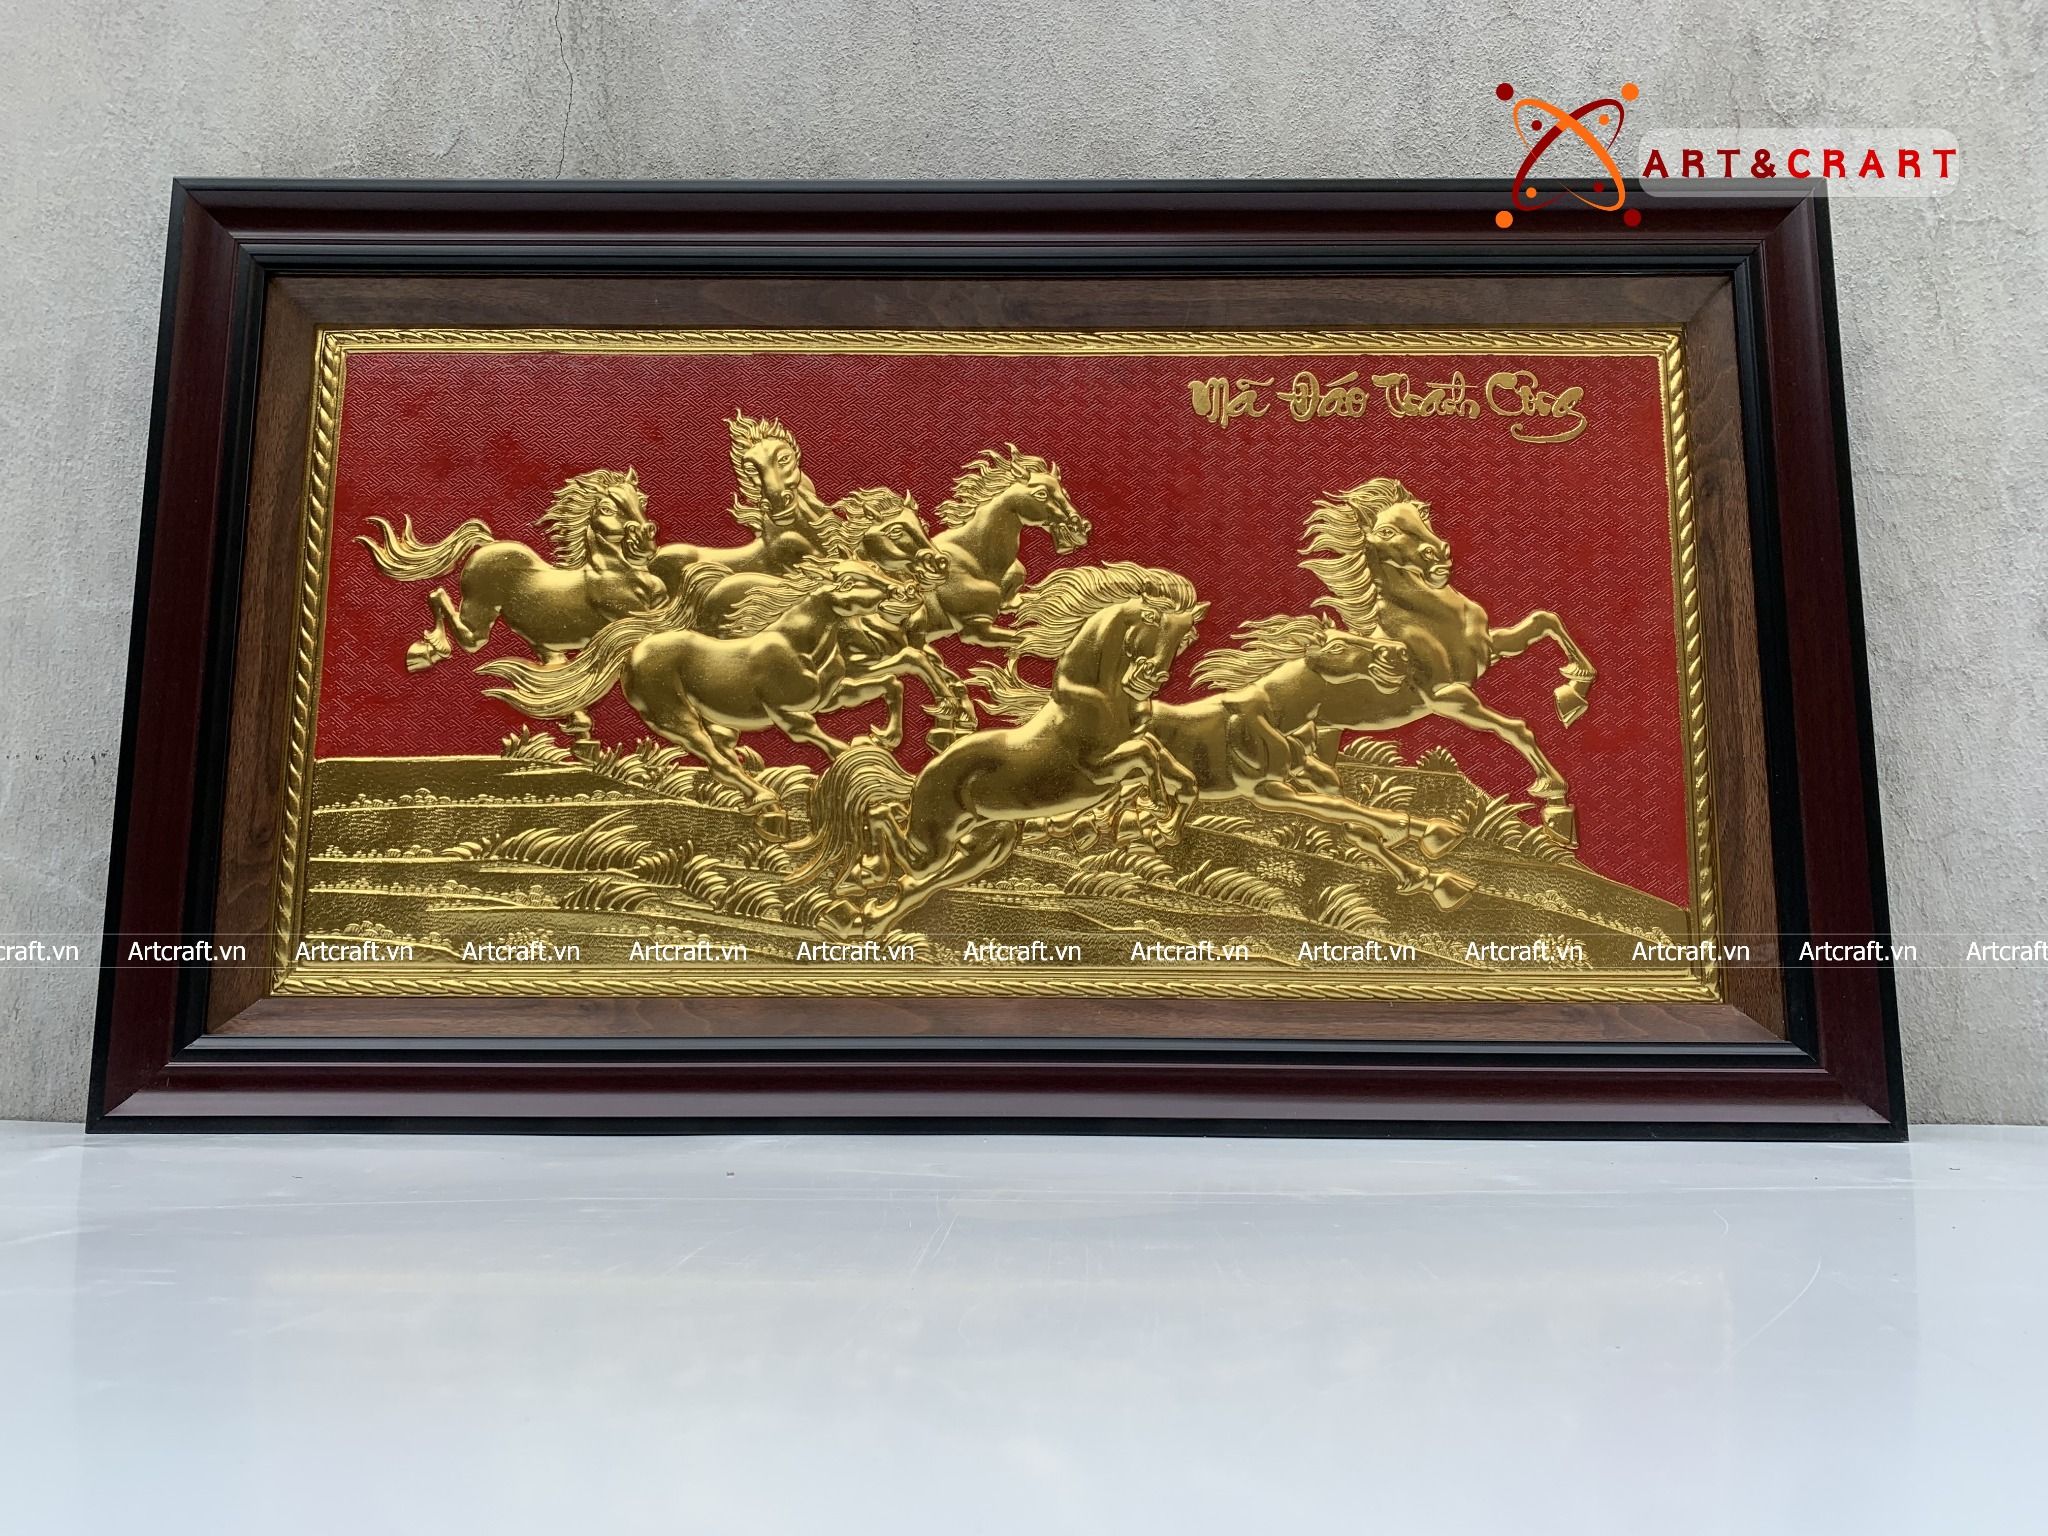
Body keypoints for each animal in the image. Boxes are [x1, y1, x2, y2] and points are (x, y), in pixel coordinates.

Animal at [357, 467, 667, 674]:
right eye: (606, 509)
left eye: (641, 500)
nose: (646, 537)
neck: (616, 572)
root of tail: (489, 545)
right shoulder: (633, 616)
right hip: (479, 616)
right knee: (443, 604)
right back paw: (428, 651)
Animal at [477, 558, 931, 814]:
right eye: (853, 581)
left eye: (874, 569)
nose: (906, 589)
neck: (800, 644)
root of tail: (636, 649)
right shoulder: (791, 715)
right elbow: (832, 744)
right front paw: (886, 772)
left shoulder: (832, 695)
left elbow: (892, 682)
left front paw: (886, 738)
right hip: (676, 716)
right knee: (715, 758)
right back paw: (762, 798)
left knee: (721, 752)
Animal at [787, 564, 1207, 939]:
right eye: (1150, 617)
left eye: (1187, 637)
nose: (1152, 678)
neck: (1101, 698)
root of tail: (924, 773)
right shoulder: (1095, 769)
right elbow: (1145, 754)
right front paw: (1151, 809)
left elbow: (1172, 766)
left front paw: (1161, 826)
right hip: (938, 832)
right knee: (890, 829)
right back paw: (863, 879)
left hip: (992, 841)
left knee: (916, 879)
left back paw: (858, 915)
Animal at [1299, 479, 1597, 844]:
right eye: (1386, 531)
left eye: (1423, 514)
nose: (1439, 553)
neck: (1434, 618)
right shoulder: (1445, 696)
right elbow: (1516, 727)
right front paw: (1556, 806)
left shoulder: (1489, 651)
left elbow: (1545, 620)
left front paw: (1573, 693)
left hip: (1328, 734)